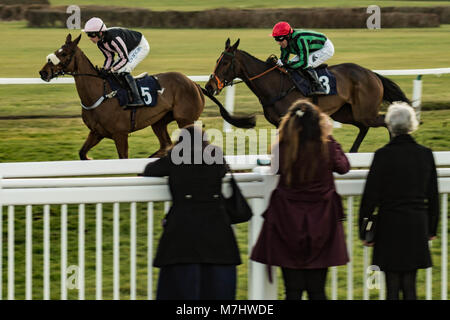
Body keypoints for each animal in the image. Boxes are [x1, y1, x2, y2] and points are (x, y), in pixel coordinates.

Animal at [37, 34, 255, 159]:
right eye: (57, 51)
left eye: (64, 54)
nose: (43, 72)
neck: (101, 93)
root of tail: (195, 85)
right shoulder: (96, 132)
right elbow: (82, 153)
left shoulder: (120, 134)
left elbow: (123, 158)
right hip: (159, 121)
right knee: (166, 144)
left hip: (186, 119)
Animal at [205, 38, 412, 151]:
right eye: (216, 60)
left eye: (225, 63)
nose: (209, 86)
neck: (274, 85)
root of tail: (372, 74)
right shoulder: (280, 123)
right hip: (345, 113)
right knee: (363, 127)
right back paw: (352, 151)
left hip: (365, 112)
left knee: (384, 121)